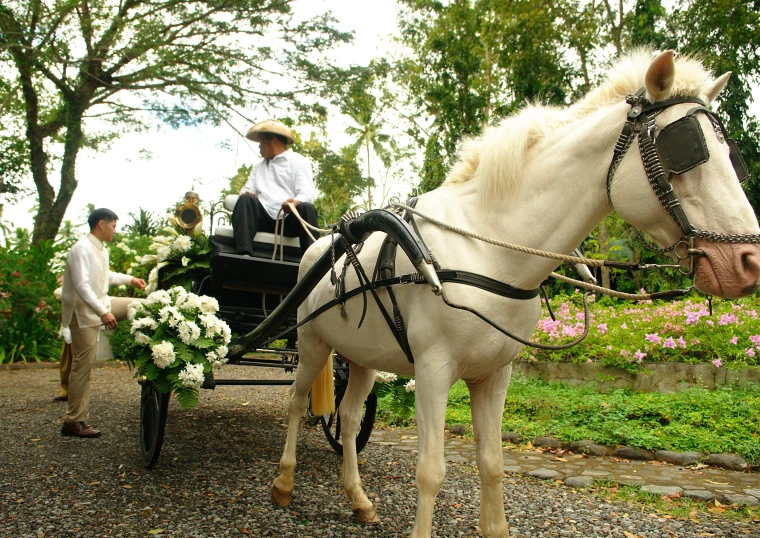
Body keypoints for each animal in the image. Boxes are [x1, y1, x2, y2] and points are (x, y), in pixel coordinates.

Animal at [268, 50, 760, 536]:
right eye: (686, 148)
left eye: (731, 155)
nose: (748, 261)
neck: (486, 245)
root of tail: (317, 246)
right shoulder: (432, 370)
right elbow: (431, 470)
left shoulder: (495, 373)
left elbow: (492, 462)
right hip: (312, 343)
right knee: (294, 403)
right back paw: (284, 483)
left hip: (365, 356)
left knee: (350, 419)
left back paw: (359, 499)